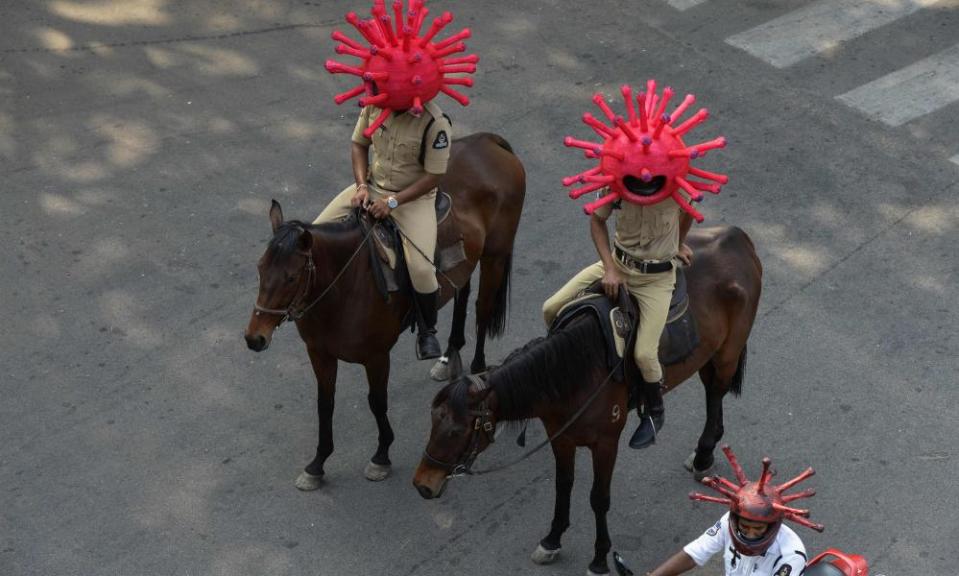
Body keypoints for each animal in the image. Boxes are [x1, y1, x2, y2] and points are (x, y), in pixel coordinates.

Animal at [244, 132, 520, 490]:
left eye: (291, 277)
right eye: (260, 268)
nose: (254, 338)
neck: (343, 286)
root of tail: (485, 141)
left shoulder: (376, 357)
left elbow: (377, 402)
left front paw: (381, 456)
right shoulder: (319, 353)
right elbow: (325, 404)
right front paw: (318, 463)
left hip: (495, 257)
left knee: (482, 309)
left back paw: (474, 372)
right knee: (462, 294)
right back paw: (449, 356)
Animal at [412, 226, 764, 576]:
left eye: (456, 431)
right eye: (431, 420)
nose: (422, 484)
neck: (574, 372)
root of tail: (736, 236)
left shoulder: (606, 442)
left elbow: (599, 498)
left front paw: (598, 558)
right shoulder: (561, 436)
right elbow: (563, 484)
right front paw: (552, 539)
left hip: (727, 352)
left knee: (715, 393)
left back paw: (703, 454)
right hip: (708, 354)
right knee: (711, 393)